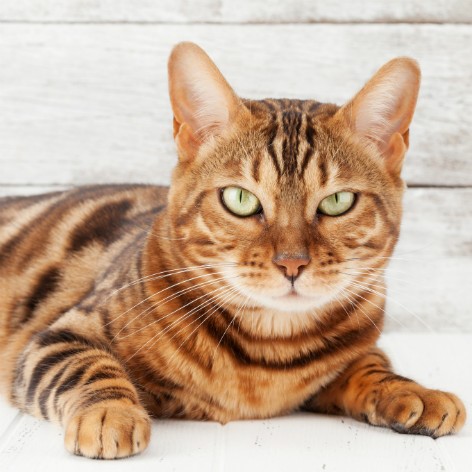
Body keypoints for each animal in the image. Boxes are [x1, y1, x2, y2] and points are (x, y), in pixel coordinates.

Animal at [0, 42, 464, 460]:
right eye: (240, 199)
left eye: (338, 202)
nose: (292, 262)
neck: (267, 353)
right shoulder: (61, 335)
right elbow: (90, 367)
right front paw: (110, 413)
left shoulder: (351, 356)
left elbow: (371, 365)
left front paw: (413, 390)